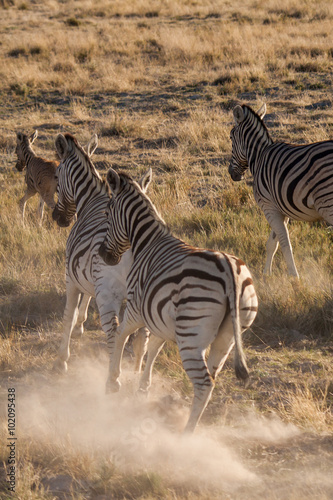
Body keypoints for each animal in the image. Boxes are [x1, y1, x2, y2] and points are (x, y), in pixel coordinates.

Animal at [52, 134, 149, 390]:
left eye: (56, 177)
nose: (57, 218)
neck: (90, 200)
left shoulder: (70, 276)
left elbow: (67, 315)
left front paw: (61, 360)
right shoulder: (87, 273)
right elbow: (85, 300)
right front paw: (80, 326)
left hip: (109, 294)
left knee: (114, 332)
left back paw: (113, 379)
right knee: (143, 334)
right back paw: (137, 375)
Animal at [98, 169, 256, 434]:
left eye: (108, 213)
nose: (103, 255)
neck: (147, 242)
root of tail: (229, 270)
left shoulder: (136, 308)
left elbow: (121, 336)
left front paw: (113, 382)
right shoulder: (159, 318)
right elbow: (152, 349)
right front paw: (142, 388)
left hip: (191, 335)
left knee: (203, 383)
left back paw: (186, 436)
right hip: (228, 336)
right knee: (211, 379)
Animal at [227, 103, 332, 280]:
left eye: (230, 138)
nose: (231, 174)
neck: (258, 156)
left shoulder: (268, 206)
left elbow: (284, 243)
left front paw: (294, 277)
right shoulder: (280, 209)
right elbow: (273, 243)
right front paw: (266, 274)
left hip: (327, 203)